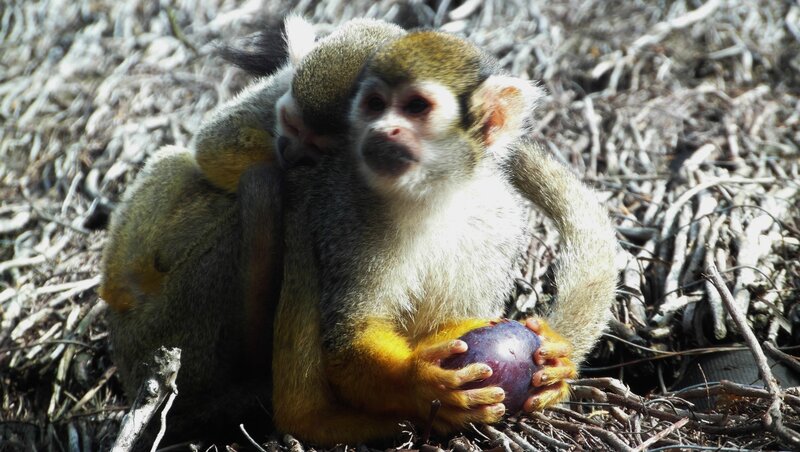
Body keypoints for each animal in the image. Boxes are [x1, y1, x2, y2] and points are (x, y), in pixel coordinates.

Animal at [268, 30, 618, 446]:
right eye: (374, 105)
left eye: (416, 107)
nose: (381, 129)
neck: (432, 194)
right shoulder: (346, 211)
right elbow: (348, 336)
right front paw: (417, 383)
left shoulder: (501, 219)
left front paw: (556, 360)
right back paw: (316, 420)